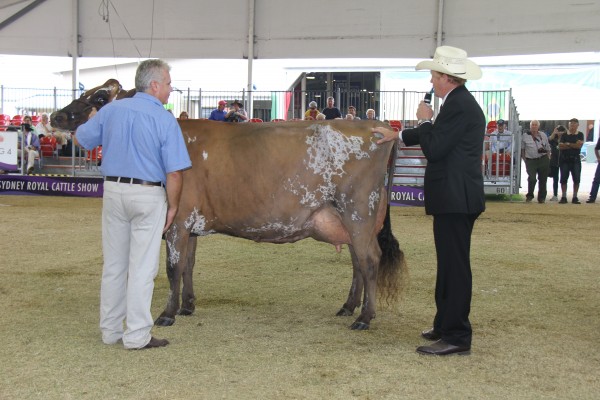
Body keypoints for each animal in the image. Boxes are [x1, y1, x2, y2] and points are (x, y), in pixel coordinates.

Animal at [157, 119, 406, 332]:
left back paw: (364, 317)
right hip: (350, 222)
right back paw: (348, 307)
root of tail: (376, 125)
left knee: (370, 260)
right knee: (358, 263)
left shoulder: (178, 220)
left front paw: (167, 314)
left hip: (358, 213)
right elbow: (188, 264)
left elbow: (173, 267)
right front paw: (187, 306)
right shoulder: (190, 226)